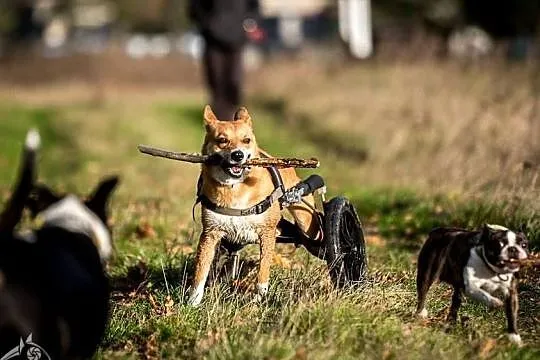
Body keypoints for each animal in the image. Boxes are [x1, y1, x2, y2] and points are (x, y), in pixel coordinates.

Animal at [187, 105, 320, 306]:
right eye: (222, 140)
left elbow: (263, 270)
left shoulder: (267, 233)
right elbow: (201, 270)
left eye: (246, 140)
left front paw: (259, 299)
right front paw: (193, 302)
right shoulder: (210, 233)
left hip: (306, 221)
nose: (238, 155)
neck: (235, 187)